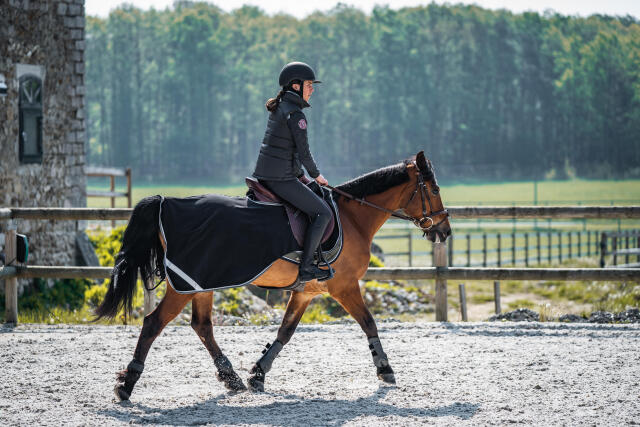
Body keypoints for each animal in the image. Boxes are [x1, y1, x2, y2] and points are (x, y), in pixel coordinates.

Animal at [97, 151, 452, 402]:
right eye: (434, 189)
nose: (445, 231)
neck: (352, 218)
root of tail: (165, 202)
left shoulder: (306, 291)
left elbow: (285, 331)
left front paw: (258, 374)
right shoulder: (345, 287)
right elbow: (369, 322)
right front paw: (385, 370)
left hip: (202, 284)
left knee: (202, 326)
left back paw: (232, 378)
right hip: (184, 287)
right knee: (154, 324)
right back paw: (127, 384)